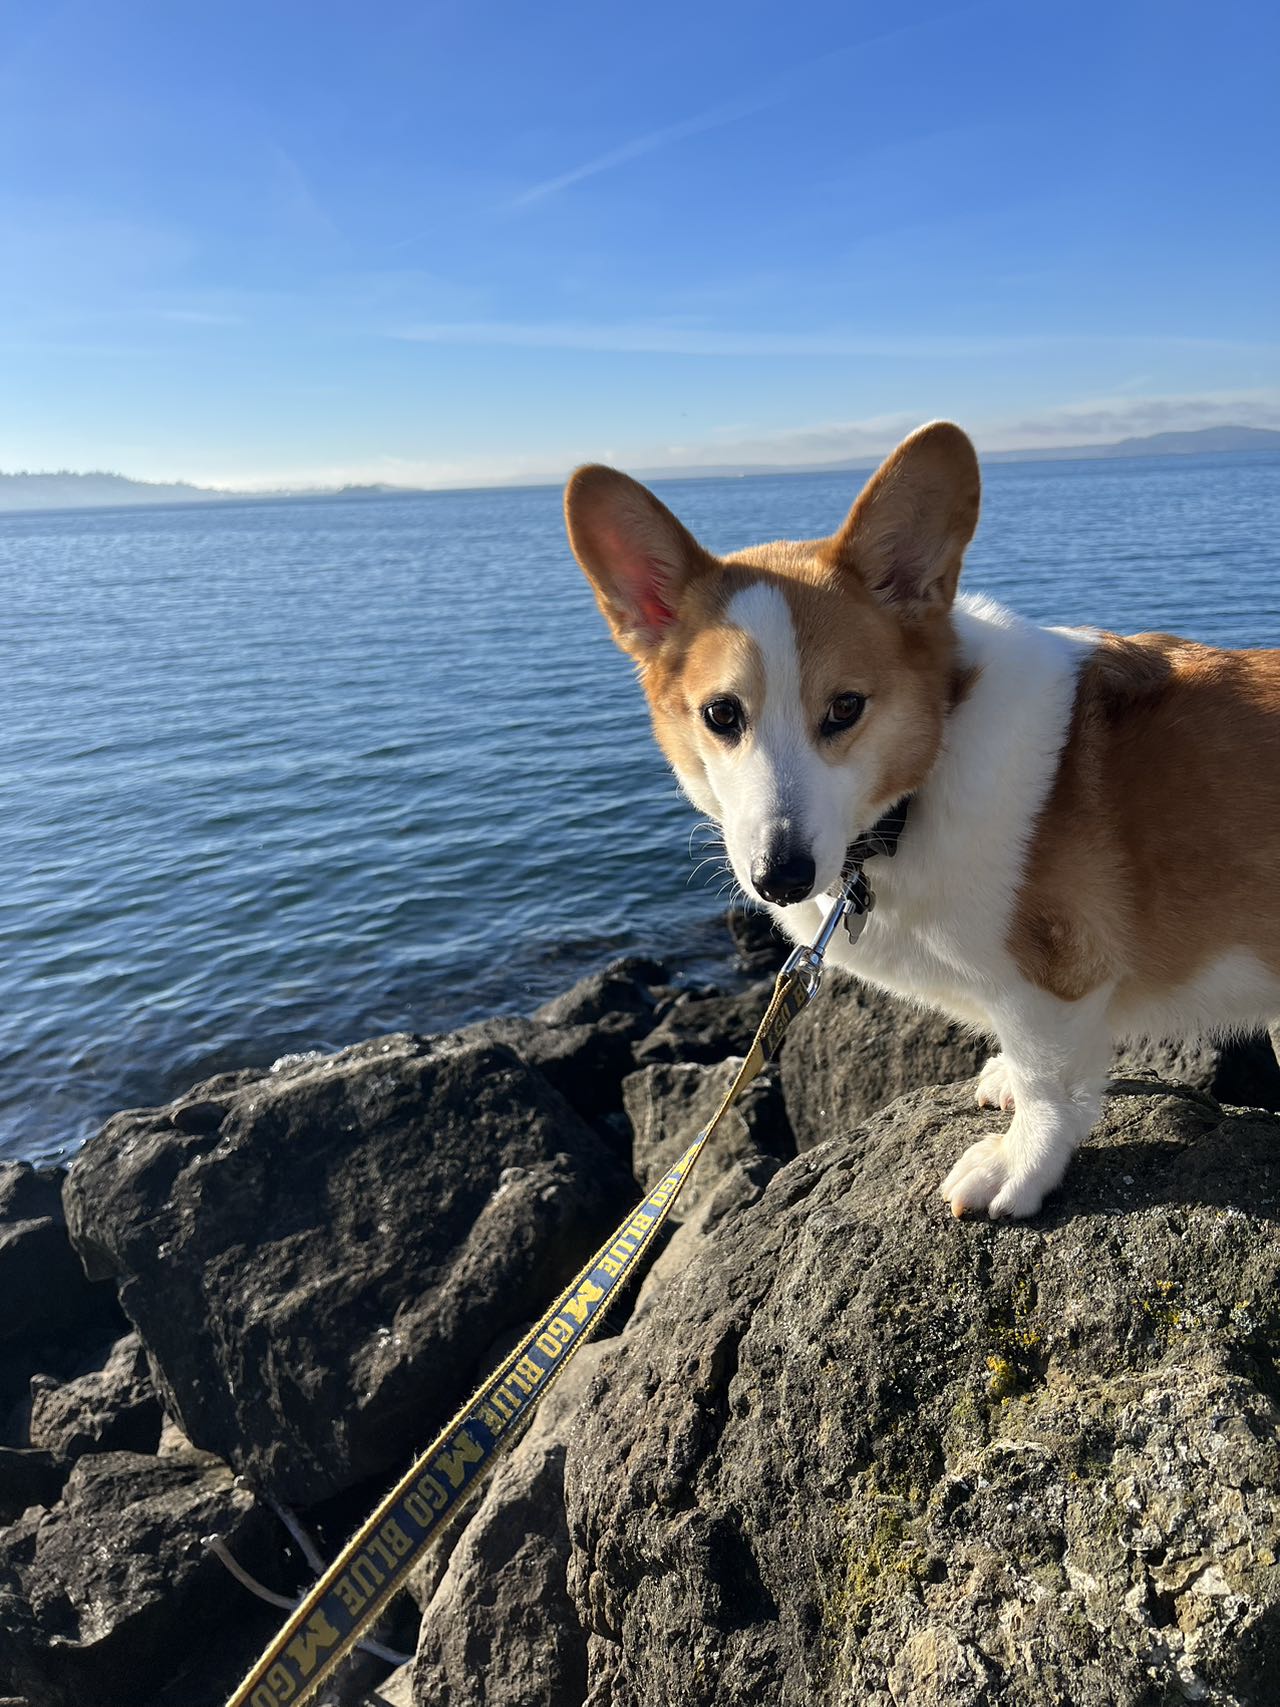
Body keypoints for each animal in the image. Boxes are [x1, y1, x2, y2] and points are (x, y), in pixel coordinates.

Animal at [570, 433, 1280, 1222]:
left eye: (846, 707)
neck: (916, 793)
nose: (780, 877)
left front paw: (1018, 1166)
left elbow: (1048, 1079)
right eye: (722, 714)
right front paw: (1004, 1081)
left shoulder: (1056, 976)